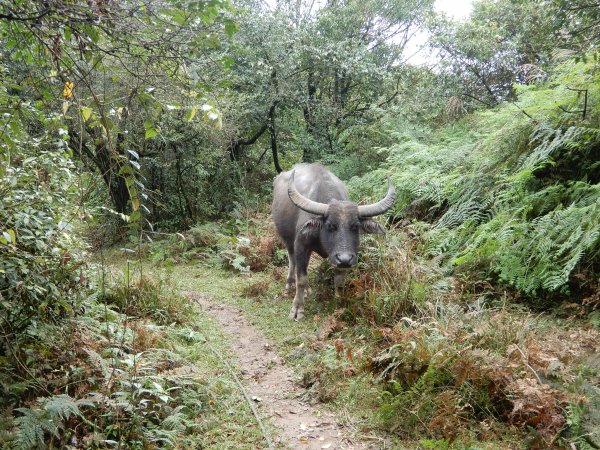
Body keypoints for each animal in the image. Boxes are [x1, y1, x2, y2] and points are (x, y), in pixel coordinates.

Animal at [270, 163, 394, 318]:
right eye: (330, 225)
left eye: (355, 226)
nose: (345, 259)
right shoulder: (301, 245)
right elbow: (302, 279)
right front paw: (297, 309)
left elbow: (339, 282)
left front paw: (338, 306)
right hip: (287, 239)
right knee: (292, 261)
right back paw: (290, 284)